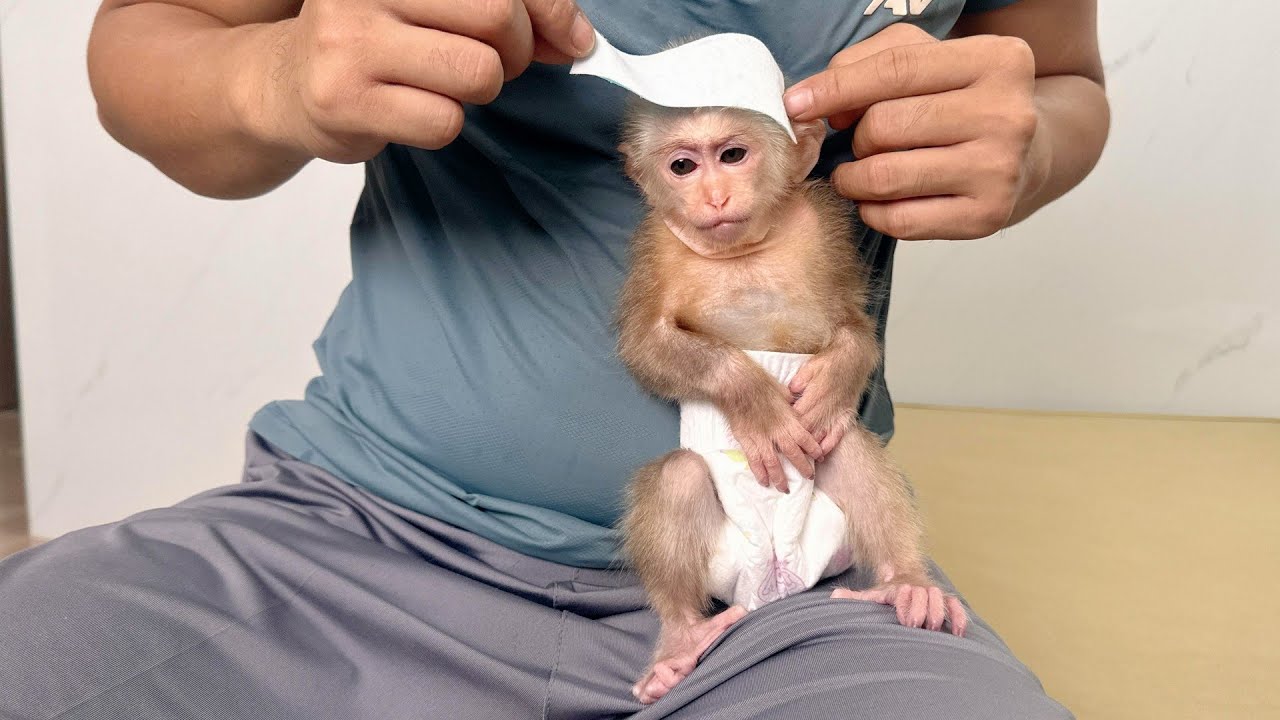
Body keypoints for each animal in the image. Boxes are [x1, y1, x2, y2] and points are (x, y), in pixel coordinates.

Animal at [614, 102, 969, 705]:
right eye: (682, 166)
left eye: (733, 155)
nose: (714, 197)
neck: (744, 250)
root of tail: (776, 578)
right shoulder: (657, 246)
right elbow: (647, 345)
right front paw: (756, 399)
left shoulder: (822, 227)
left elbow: (852, 325)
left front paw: (838, 376)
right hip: (728, 563)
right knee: (680, 477)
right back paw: (681, 642)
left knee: (846, 447)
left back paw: (905, 585)